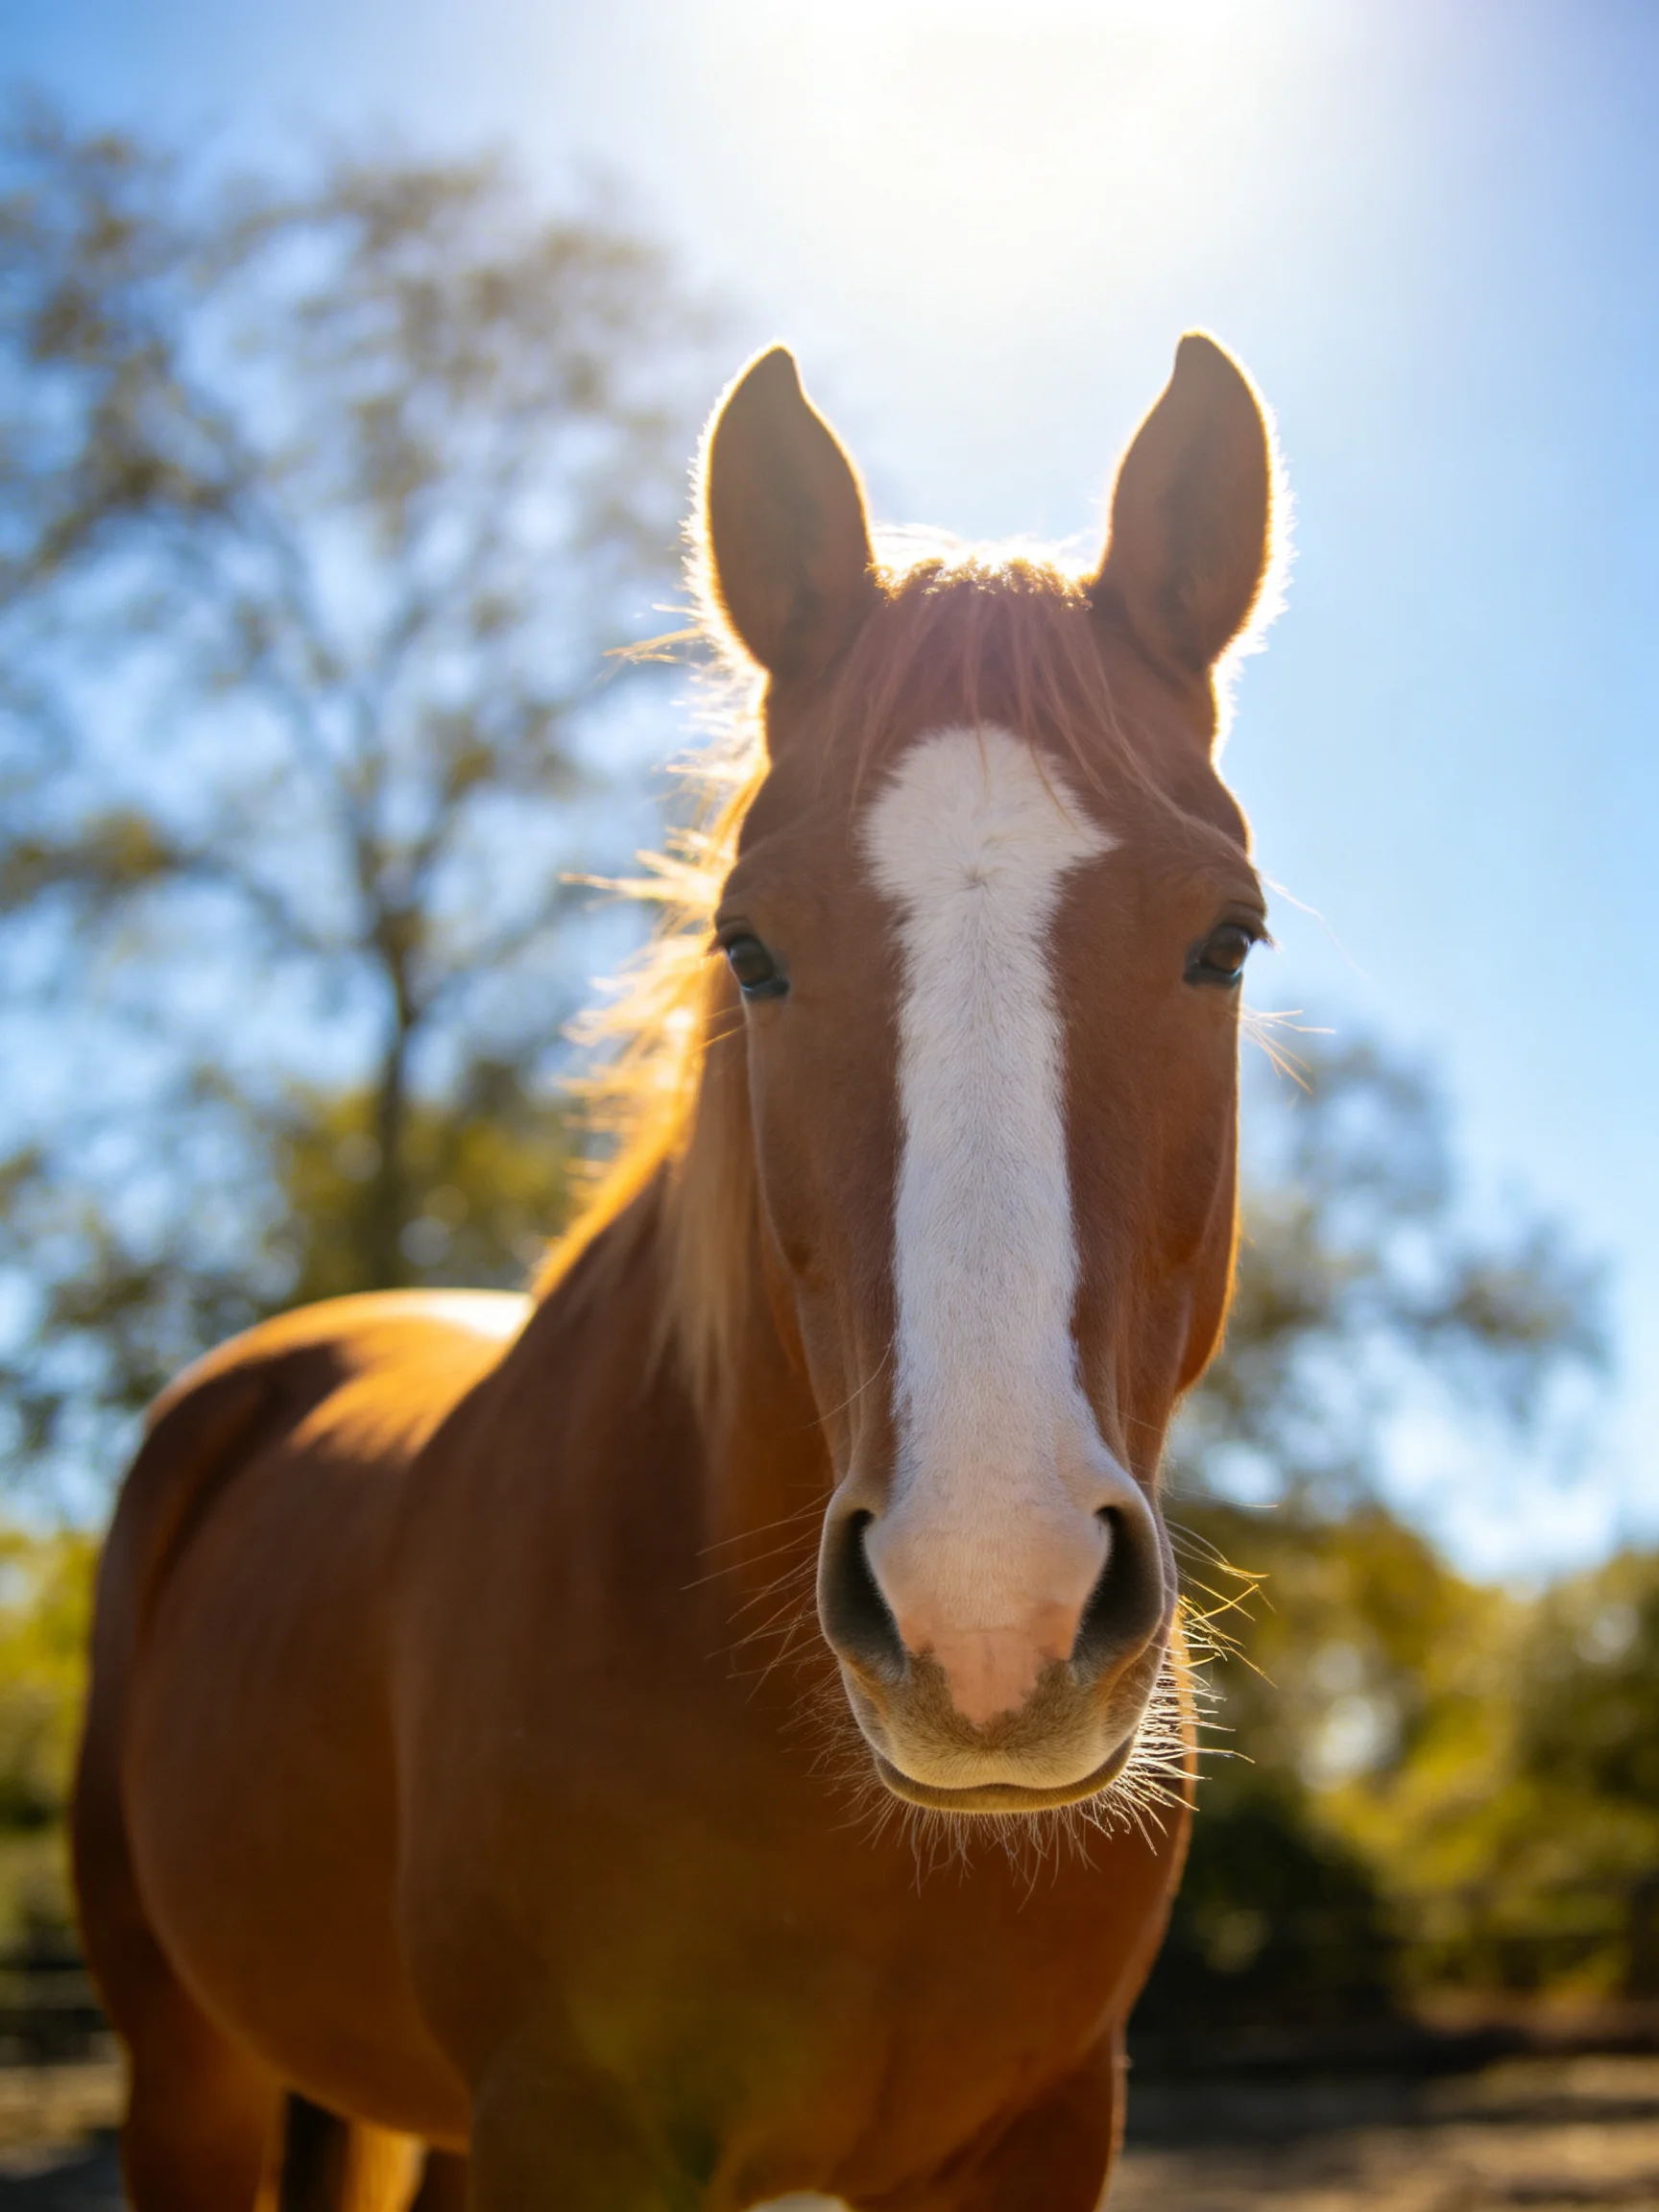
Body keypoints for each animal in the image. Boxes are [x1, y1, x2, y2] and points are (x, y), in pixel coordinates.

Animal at [72, 329, 1281, 2210]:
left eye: (1225, 938)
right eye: (750, 946)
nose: (985, 1618)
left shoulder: (1037, 2125)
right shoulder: (567, 2125)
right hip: (188, 2068)